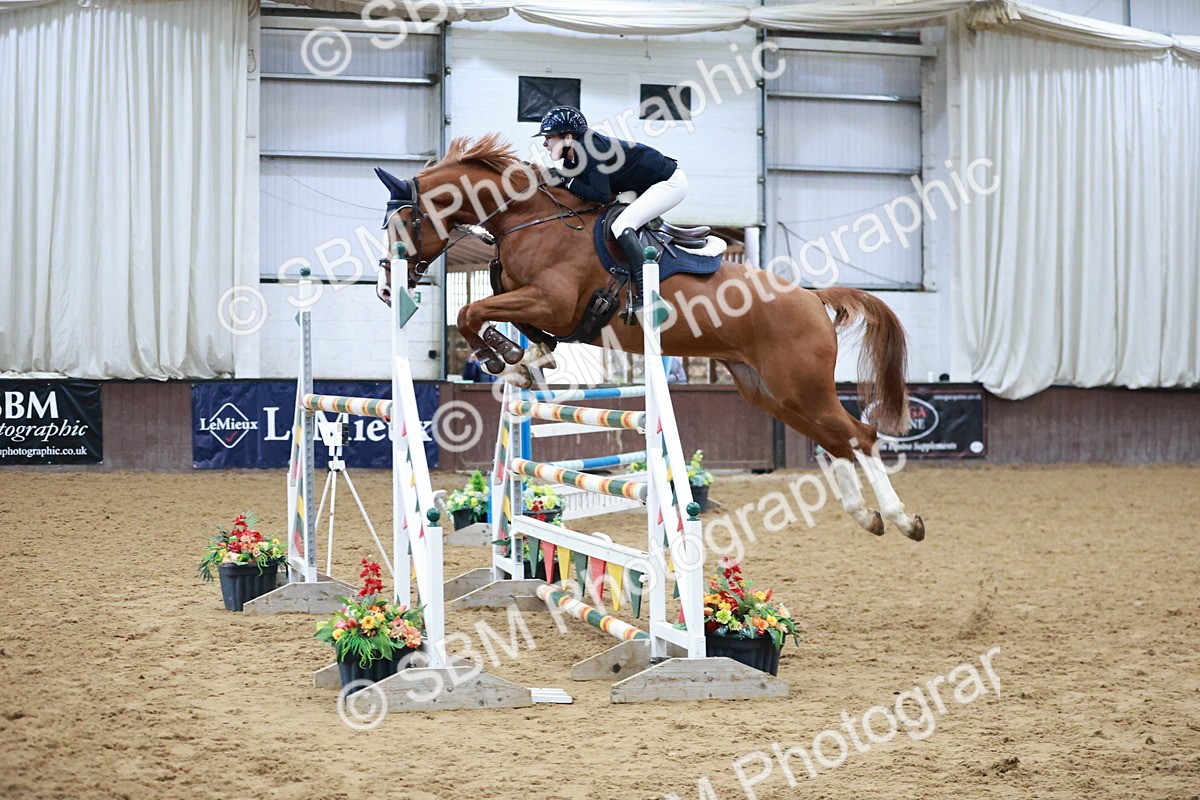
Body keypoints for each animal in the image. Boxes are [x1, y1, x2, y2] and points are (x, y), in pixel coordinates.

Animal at [375, 134, 924, 541]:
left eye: (404, 222)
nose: (384, 288)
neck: (529, 218)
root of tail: (812, 299)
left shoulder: (551, 300)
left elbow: (470, 310)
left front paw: (507, 356)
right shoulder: (538, 304)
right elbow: (500, 315)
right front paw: (525, 360)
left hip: (801, 386)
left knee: (859, 437)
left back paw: (903, 519)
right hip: (772, 392)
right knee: (835, 442)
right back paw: (867, 516)